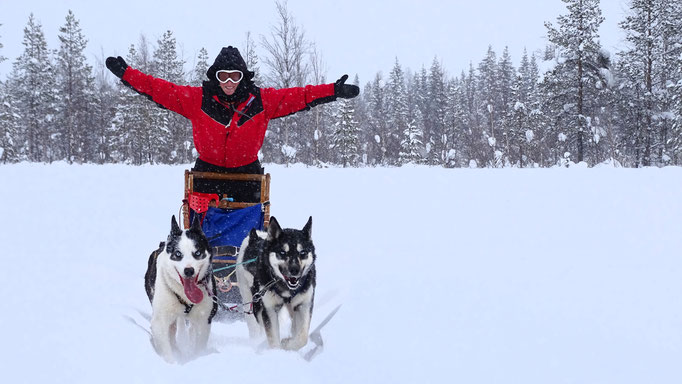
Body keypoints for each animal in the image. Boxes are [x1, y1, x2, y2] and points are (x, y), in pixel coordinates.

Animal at [143, 216, 215, 364]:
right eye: (178, 254)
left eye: (197, 253)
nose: (189, 270)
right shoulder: (160, 320)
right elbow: (165, 347)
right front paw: (171, 362)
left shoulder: (204, 319)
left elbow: (199, 343)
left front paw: (195, 358)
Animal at [236, 218, 316, 350]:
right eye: (282, 252)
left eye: (302, 252)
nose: (295, 270)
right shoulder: (268, 308)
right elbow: (272, 337)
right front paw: (276, 351)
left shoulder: (304, 304)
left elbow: (302, 337)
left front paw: (288, 344)